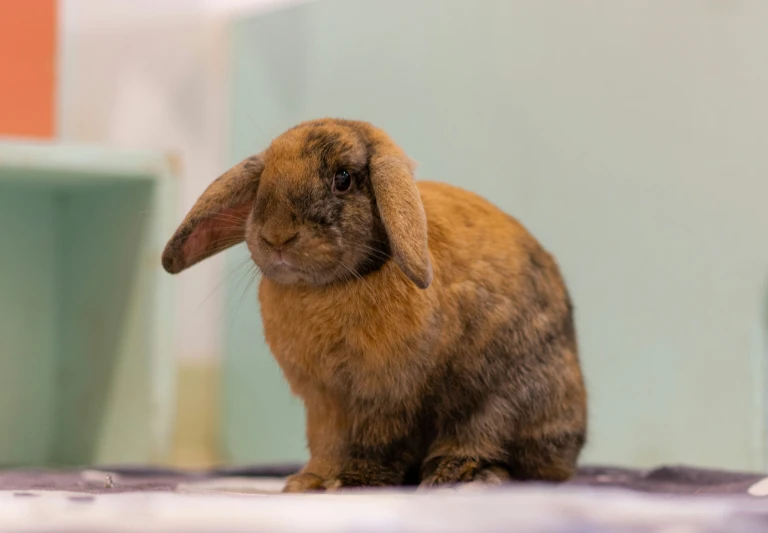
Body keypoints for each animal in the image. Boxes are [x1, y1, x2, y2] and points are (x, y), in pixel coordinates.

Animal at [164, 117, 588, 490]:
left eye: (343, 179)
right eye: (265, 177)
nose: (277, 235)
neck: (329, 287)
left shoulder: (386, 394)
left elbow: (378, 443)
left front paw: (351, 483)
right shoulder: (324, 402)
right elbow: (327, 443)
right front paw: (308, 482)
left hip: (501, 400)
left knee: (492, 447)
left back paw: (454, 477)